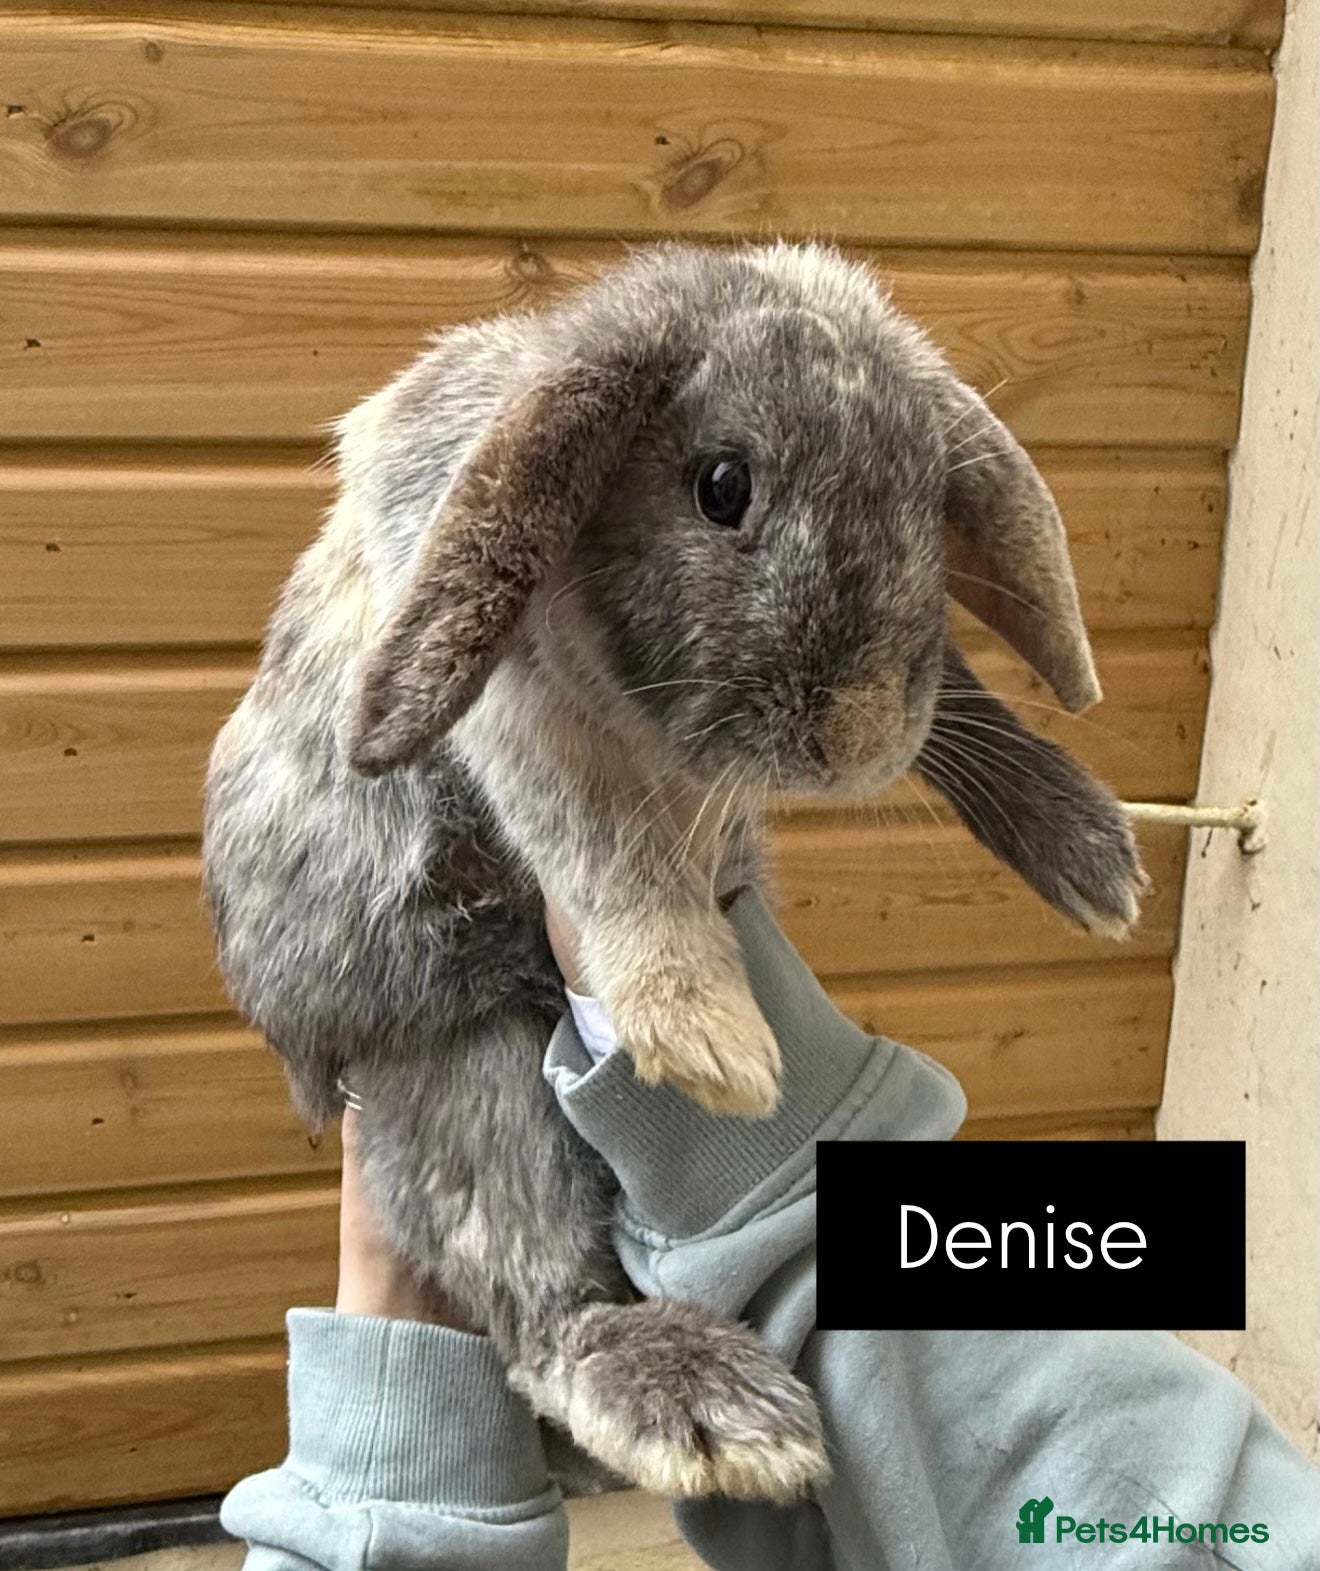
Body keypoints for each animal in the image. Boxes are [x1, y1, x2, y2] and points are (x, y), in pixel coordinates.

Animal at [202, 241, 1147, 1503]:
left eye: (927, 505)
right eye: (721, 485)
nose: (855, 738)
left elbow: (963, 692)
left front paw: (1093, 851)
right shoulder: (532, 722)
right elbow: (610, 847)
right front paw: (708, 1034)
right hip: (466, 1068)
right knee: (544, 1310)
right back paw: (707, 1399)